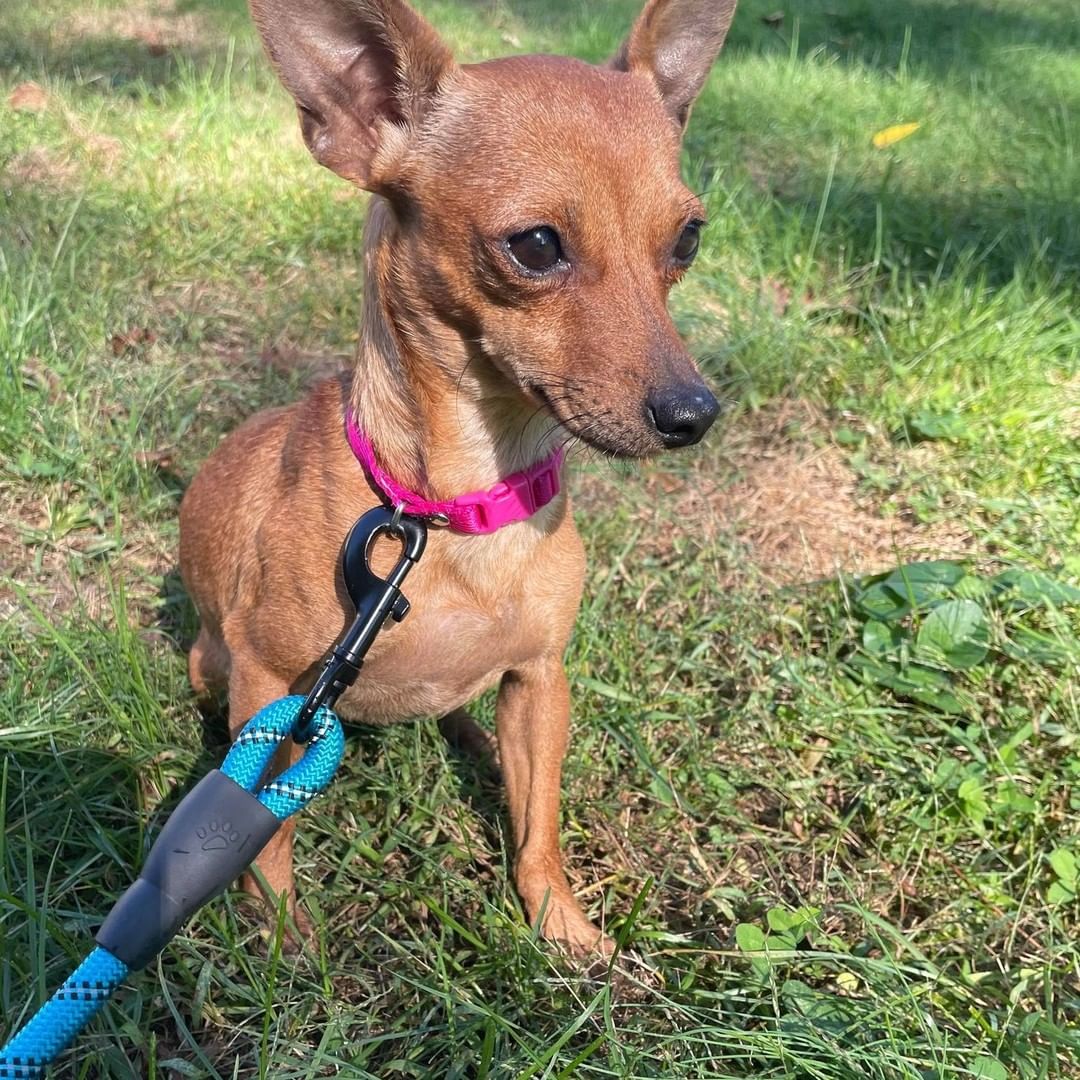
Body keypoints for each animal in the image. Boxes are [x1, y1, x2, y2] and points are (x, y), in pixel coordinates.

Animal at [179, 0, 734, 959]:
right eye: (537, 246)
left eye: (688, 239)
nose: (693, 412)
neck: (456, 509)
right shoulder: (270, 687)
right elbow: (267, 829)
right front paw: (282, 936)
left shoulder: (543, 681)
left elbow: (540, 827)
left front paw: (558, 923)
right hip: (213, 668)